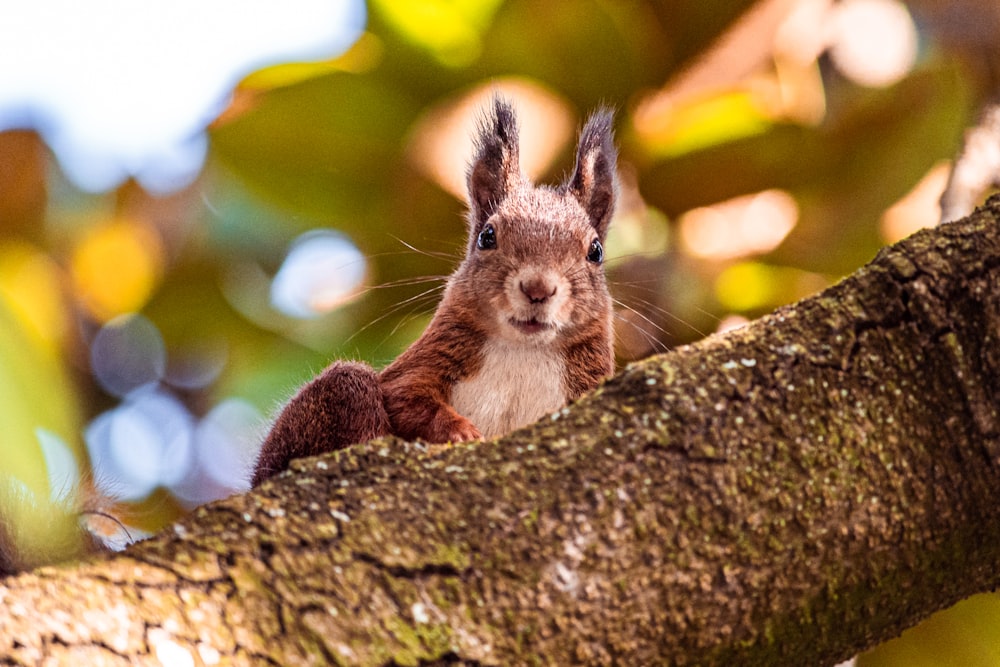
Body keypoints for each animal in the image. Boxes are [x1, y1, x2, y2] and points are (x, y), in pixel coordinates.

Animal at [250, 96, 616, 486]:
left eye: (596, 251)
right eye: (487, 236)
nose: (537, 288)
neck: (524, 351)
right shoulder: (426, 362)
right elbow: (408, 399)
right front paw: (460, 431)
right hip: (336, 395)